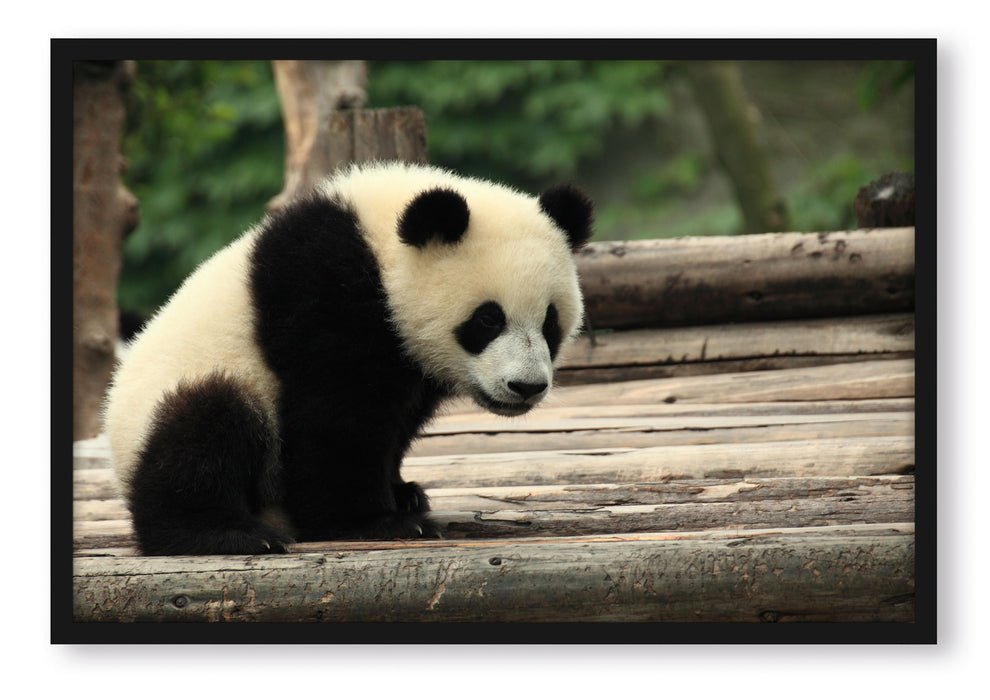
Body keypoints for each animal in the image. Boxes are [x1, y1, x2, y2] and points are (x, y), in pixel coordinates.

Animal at [103, 161, 593, 556]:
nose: (525, 387)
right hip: (189, 392)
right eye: (488, 319)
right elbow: (337, 417)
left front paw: (403, 493)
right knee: (205, 428)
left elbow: (395, 420)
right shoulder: (324, 294)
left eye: (550, 322)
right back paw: (226, 533)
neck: (379, 247)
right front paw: (379, 521)